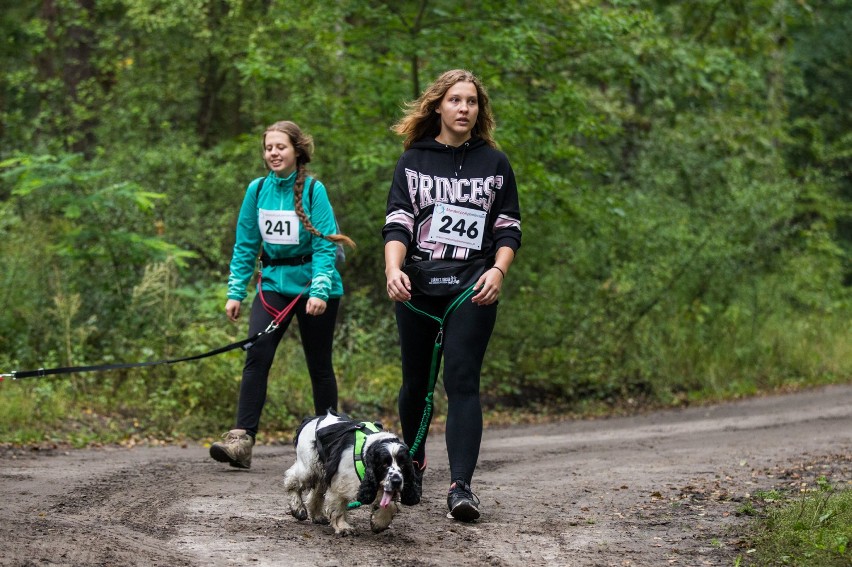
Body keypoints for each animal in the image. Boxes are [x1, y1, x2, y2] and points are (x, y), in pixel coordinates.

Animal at [284, 408, 422, 536]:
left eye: (403, 464)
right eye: (384, 464)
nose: (396, 481)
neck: (366, 449)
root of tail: (310, 419)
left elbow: (389, 504)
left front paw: (378, 523)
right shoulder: (340, 483)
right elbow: (338, 506)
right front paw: (343, 528)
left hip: (323, 470)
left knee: (316, 492)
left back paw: (318, 516)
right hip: (308, 467)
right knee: (292, 481)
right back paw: (298, 509)